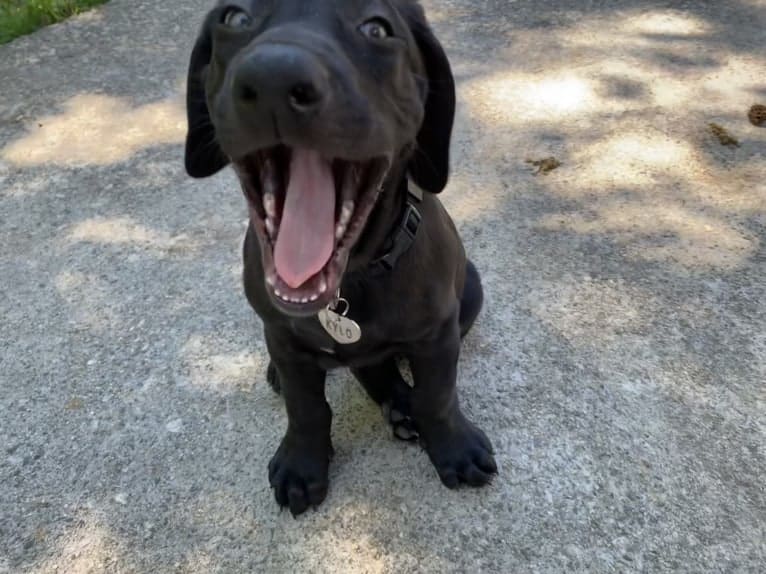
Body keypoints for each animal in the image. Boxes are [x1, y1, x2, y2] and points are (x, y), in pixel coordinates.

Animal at [186, 0, 498, 516]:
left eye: (377, 29)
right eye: (235, 18)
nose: (274, 79)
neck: (349, 282)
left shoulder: (437, 335)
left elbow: (438, 395)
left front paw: (454, 446)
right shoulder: (283, 335)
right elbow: (306, 407)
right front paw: (302, 463)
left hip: (470, 293)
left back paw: (401, 405)